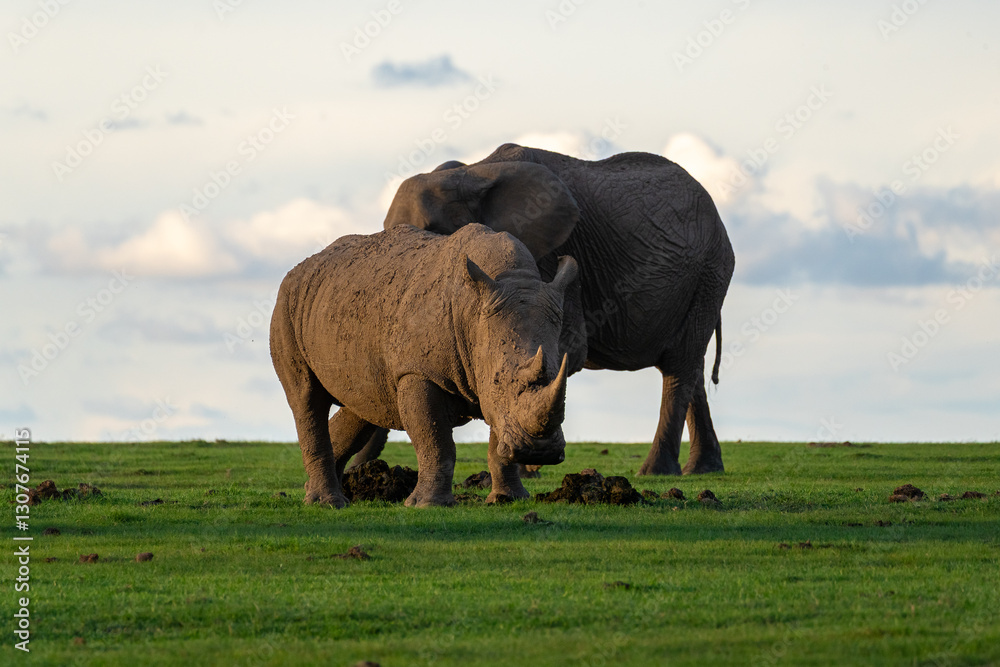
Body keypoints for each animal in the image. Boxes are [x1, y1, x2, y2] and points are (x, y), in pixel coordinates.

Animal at [269, 223, 583, 507]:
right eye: (498, 380)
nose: (539, 452)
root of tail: (301, 268)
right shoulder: (419, 371)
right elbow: (436, 441)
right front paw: (428, 505)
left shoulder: (492, 372)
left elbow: (498, 440)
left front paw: (508, 500)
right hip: (286, 304)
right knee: (307, 399)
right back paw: (327, 503)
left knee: (362, 404)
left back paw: (325, 495)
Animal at [351, 143, 734, 476]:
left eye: (433, 234)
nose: (359, 471)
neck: (472, 174)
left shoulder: (552, 257)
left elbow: (565, 349)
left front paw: (525, 468)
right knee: (689, 366)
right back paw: (703, 468)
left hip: (710, 272)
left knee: (680, 365)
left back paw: (655, 472)